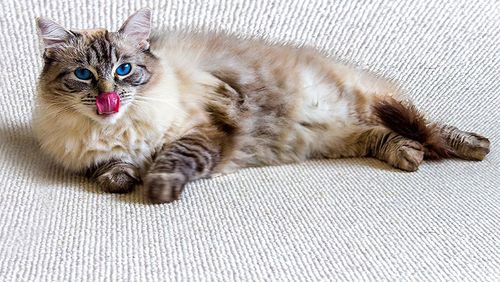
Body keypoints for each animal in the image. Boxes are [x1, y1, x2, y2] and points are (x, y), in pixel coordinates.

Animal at [32, 8, 492, 203]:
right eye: (84, 75)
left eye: (125, 69)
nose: (107, 96)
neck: (115, 128)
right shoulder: (95, 161)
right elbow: (112, 174)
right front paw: (126, 178)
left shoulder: (200, 130)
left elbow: (172, 160)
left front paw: (159, 189)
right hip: (340, 136)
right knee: (392, 136)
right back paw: (409, 154)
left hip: (365, 100)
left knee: (433, 127)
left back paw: (475, 147)